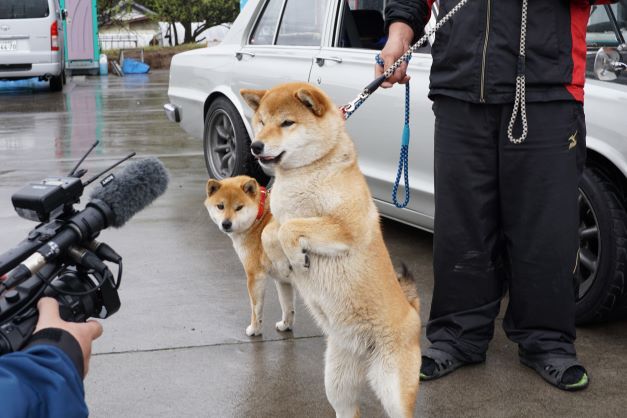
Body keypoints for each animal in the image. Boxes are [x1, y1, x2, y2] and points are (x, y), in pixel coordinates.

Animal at [205, 176, 296, 336]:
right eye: (220, 206)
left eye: (239, 207)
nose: (226, 224)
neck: (259, 219)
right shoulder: (282, 281)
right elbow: (287, 306)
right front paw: (286, 325)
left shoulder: (255, 275)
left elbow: (256, 308)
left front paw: (254, 329)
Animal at [240, 82, 422, 418]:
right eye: (261, 122)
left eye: (287, 123)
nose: (256, 146)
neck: (307, 173)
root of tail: (413, 312)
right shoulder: (279, 216)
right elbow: (274, 232)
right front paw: (288, 260)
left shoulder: (346, 227)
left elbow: (289, 228)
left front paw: (296, 255)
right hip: (337, 383)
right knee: (349, 409)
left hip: (393, 389)